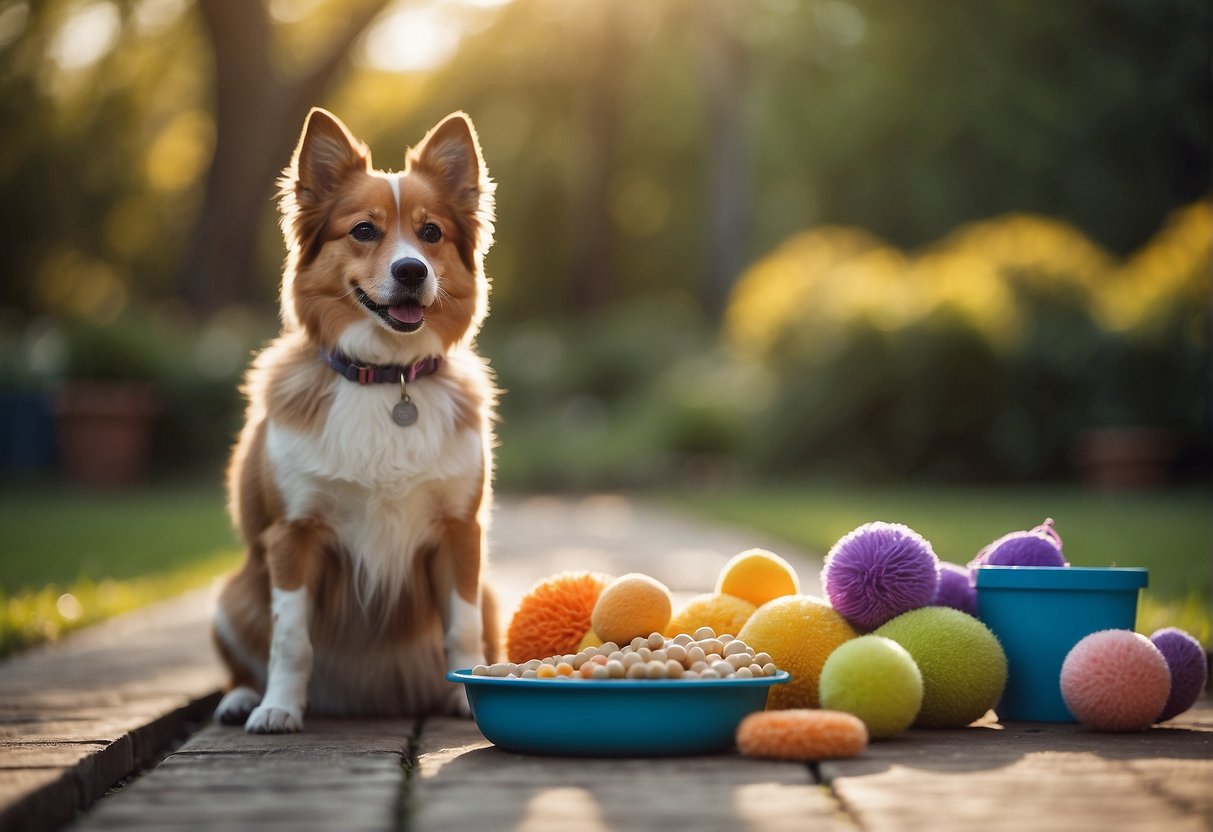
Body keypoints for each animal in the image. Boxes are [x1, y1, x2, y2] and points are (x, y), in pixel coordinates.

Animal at [212, 106, 497, 737]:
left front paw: (470, 696)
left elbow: (462, 628)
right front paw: (278, 706)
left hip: (491, 592)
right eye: (363, 230)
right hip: (232, 598)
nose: (412, 270)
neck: (388, 381)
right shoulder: (293, 535)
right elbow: (290, 639)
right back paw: (244, 698)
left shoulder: (460, 533)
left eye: (431, 233)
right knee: (245, 660)